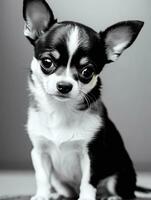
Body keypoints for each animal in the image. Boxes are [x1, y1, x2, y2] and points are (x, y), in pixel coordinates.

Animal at [23, 0, 149, 200]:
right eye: (47, 62)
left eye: (87, 71)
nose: (64, 86)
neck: (61, 110)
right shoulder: (39, 152)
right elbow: (42, 177)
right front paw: (42, 195)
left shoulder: (92, 155)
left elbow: (88, 182)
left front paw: (86, 198)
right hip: (59, 180)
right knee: (66, 189)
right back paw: (59, 195)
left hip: (120, 176)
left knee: (126, 193)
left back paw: (112, 197)